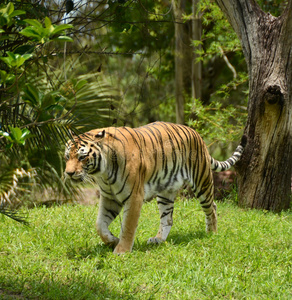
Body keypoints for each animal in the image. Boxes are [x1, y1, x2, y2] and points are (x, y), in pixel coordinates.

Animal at [64, 120, 246, 254]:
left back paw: (211, 233)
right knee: (168, 218)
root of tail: (197, 134)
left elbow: (128, 226)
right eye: (67, 157)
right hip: (166, 192)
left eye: (82, 157)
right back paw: (158, 240)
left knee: (212, 207)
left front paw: (121, 251)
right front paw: (112, 240)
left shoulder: (134, 196)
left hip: (202, 181)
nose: (68, 173)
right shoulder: (109, 198)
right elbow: (100, 224)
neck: (103, 172)